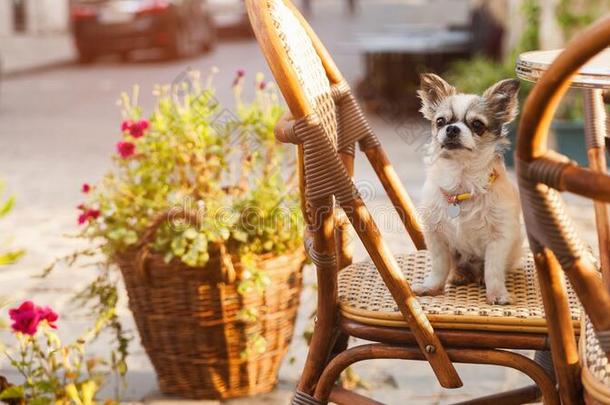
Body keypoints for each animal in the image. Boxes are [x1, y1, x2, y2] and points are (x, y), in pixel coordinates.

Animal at [410, 74, 520, 304]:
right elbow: (439, 266)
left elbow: (493, 270)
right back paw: (459, 275)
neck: (461, 180)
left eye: (477, 125)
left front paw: (497, 294)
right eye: (440, 121)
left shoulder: (499, 239)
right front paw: (431, 287)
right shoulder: (436, 237)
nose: (452, 128)